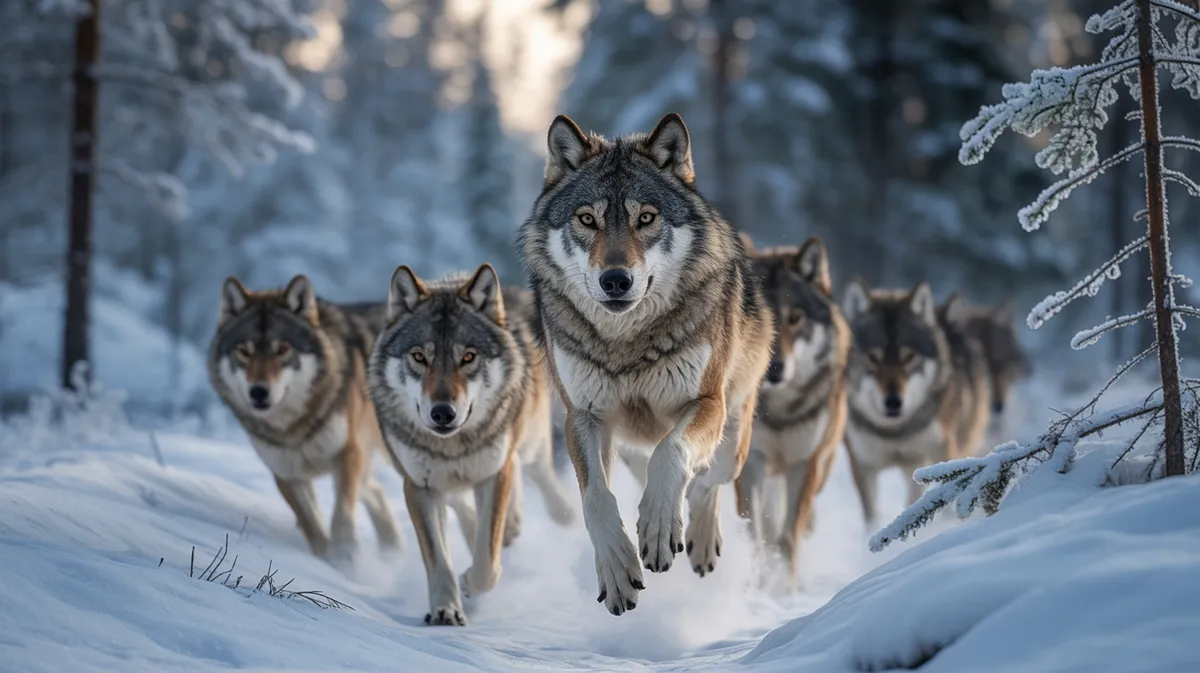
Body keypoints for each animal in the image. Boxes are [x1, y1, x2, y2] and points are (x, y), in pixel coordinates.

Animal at [208, 275, 403, 561]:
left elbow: (341, 514)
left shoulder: (348, 452)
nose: (258, 392)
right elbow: (312, 527)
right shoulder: (286, 473)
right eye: (244, 351)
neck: (294, 428)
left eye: (282, 349)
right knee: (377, 492)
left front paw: (346, 557)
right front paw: (331, 562)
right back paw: (393, 552)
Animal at [368, 264, 573, 626]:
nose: (442, 413)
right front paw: (446, 609)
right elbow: (438, 560)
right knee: (467, 509)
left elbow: (486, 564)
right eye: (419, 357)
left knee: (540, 482)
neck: (452, 446)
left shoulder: (494, 475)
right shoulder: (420, 487)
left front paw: (468, 584)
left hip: (530, 446)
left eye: (468, 357)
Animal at [518, 112, 774, 616]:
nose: (616, 280)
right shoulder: (583, 417)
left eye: (646, 218)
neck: (626, 342)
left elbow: (672, 455)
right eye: (587, 219)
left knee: (706, 479)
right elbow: (596, 498)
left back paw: (697, 537)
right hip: (631, 445)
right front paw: (618, 573)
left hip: (732, 435)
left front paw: (658, 528)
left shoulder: (705, 403)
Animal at [732, 236, 850, 582]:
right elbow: (756, 533)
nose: (774, 368)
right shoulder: (751, 462)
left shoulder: (805, 464)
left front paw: (785, 585)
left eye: (795, 318)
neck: (779, 412)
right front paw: (759, 581)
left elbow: (788, 537)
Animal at [841, 278, 966, 527]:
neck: (895, 433)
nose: (893, 402)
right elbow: (872, 516)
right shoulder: (863, 465)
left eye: (908, 357)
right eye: (873, 357)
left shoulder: (941, 452)